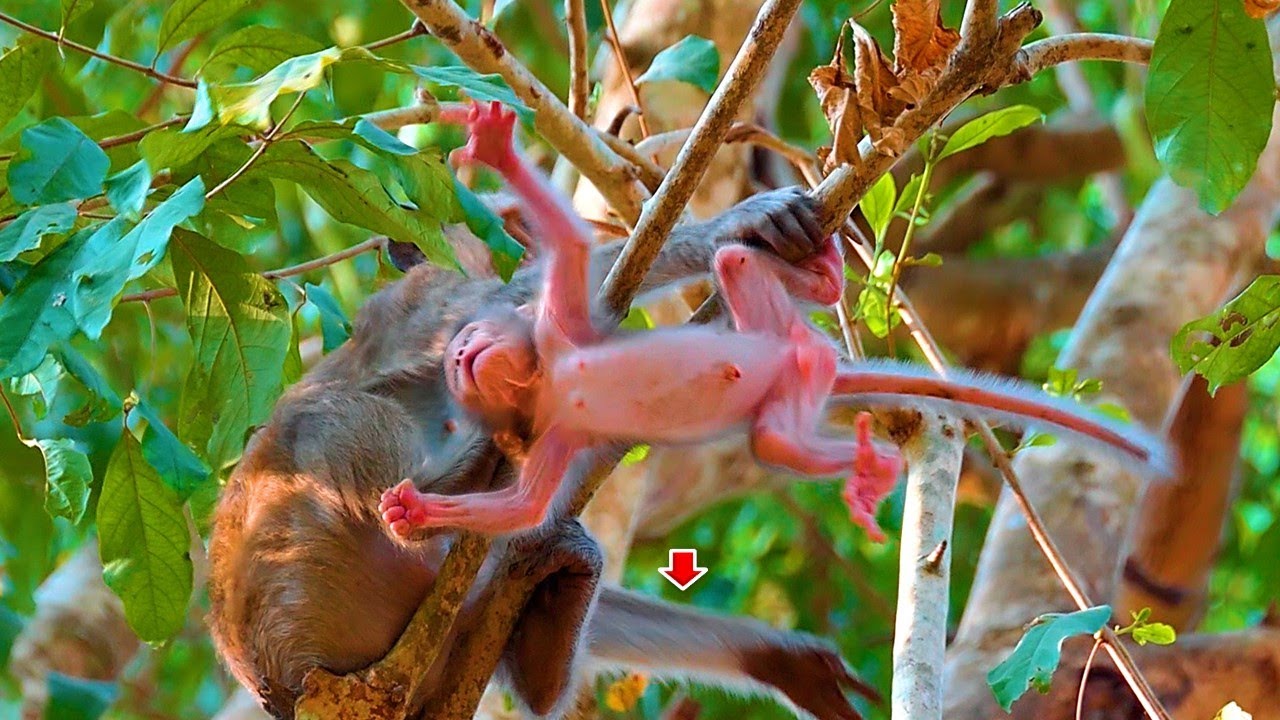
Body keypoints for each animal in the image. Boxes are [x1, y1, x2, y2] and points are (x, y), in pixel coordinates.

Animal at [205, 143, 878, 717]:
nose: (523, 237)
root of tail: (286, 681)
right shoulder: (441, 293)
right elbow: (526, 305)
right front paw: (737, 227)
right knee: (332, 419)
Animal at [378, 101, 1174, 546]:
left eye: (468, 345)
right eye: (458, 362)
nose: (462, 357)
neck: (548, 382)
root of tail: (823, 361)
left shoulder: (559, 327)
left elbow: (570, 246)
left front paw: (494, 152)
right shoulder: (554, 432)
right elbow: (525, 507)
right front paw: (413, 512)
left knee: (734, 260)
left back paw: (823, 271)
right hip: (790, 388)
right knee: (775, 434)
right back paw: (866, 463)